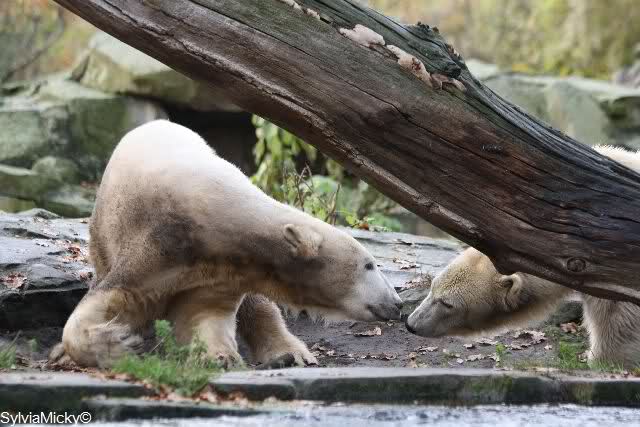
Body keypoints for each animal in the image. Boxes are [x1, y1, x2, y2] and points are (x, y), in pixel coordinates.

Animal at [57, 120, 402, 368]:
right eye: (369, 265)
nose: (397, 303)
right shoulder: (158, 241)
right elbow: (116, 295)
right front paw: (119, 344)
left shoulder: (220, 270)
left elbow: (203, 311)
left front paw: (220, 356)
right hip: (103, 230)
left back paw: (290, 354)